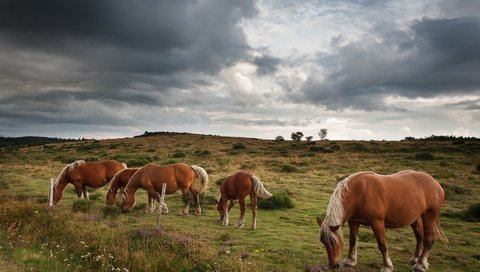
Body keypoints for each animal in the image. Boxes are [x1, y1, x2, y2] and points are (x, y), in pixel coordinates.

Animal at [316, 170, 448, 272]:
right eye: (323, 242)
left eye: (333, 242)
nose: (333, 265)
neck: (358, 193)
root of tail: (435, 183)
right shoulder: (354, 221)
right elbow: (352, 241)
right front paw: (350, 261)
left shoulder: (377, 223)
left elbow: (382, 245)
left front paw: (387, 266)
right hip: (415, 219)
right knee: (419, 236)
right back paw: (416, 258)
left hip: (429, 216)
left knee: (428, 240)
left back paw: (420, 265)